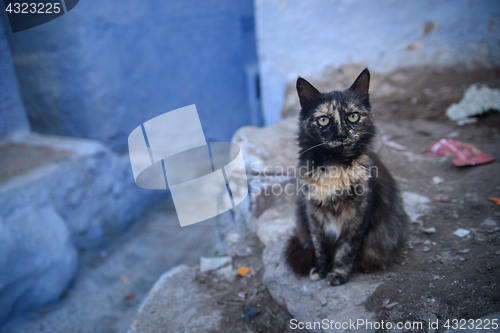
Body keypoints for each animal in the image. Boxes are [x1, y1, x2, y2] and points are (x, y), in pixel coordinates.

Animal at [284, 68, 408, 284]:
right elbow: (320, 246)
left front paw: (338, 274)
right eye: (323, 120)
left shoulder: (358, 216)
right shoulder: (314, 215)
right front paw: (321, 270)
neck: (336, 164)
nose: (342, 135)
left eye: (353, 117)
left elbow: (346, 249)